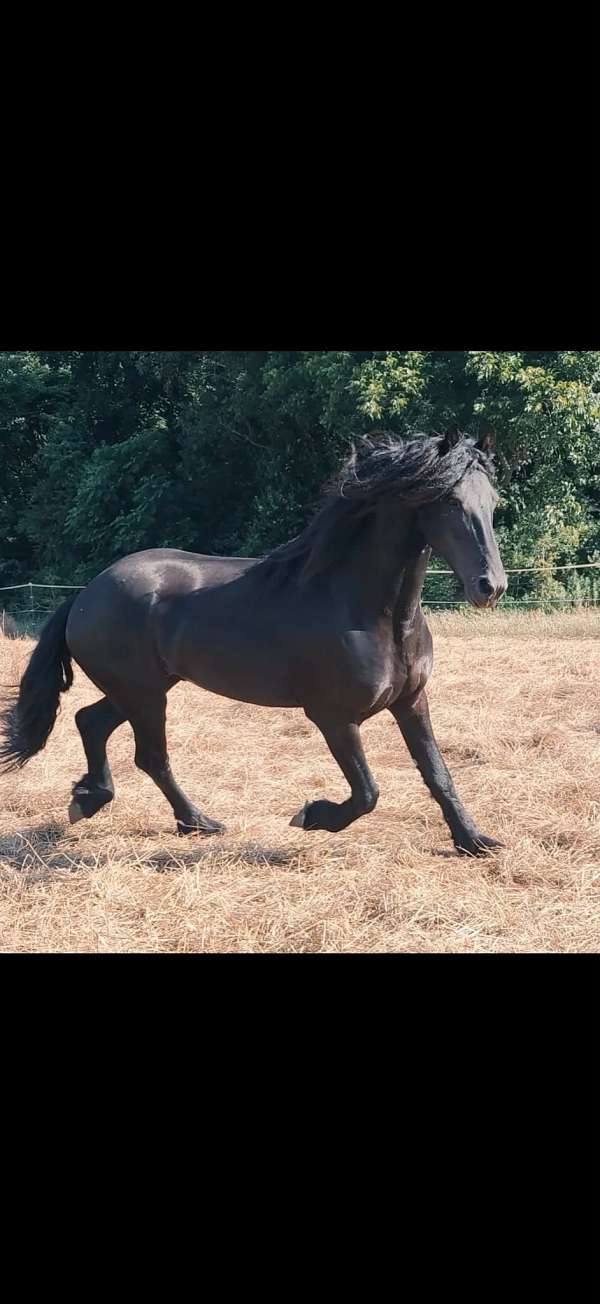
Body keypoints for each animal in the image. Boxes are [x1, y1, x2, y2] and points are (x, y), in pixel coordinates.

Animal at [0, 430, 507, 855]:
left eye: (493, 501)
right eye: (449, 501)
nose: (491, 586)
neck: (369, 611)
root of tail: (87, 594)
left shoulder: (411, 701)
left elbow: (438, 774)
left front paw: (474, 841)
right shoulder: (333, 717)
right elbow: (367, 792)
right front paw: (312, 816)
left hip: (144, 689)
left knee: (91, 722)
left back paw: (90, 800)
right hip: (144, 696)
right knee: (150, 756)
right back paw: (197, 821)